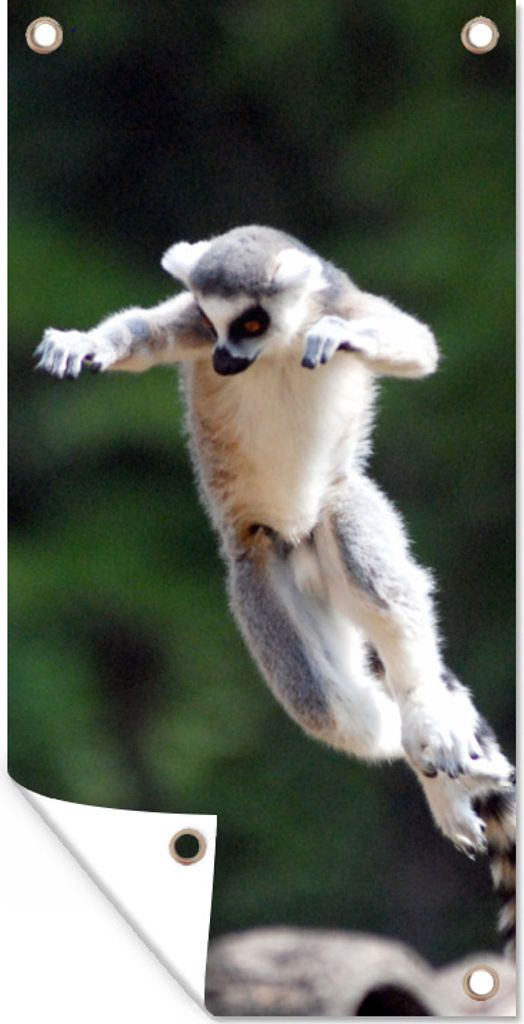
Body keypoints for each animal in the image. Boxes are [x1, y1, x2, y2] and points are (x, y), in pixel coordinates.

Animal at [35, 225, 515, 952]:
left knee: (370, 565)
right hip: (263, 576)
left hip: (335, 516)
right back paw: (418, 746)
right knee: (332, 704)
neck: (281, 344)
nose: (225, 358)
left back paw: (425, 715)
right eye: (212, 323)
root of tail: (298, 547)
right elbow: (144, 331)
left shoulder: (344, 300)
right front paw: (85, 343)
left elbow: (416, 344)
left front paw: (340, 337)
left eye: (251, 322)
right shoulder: (189, 328)